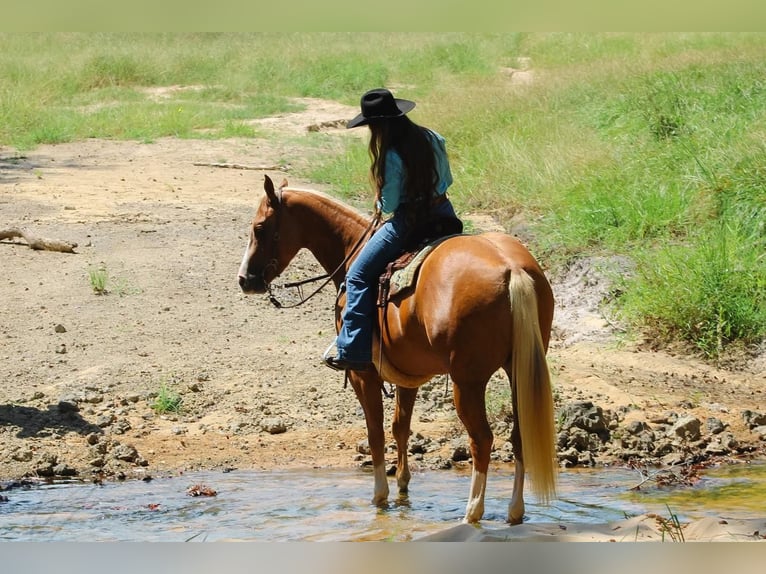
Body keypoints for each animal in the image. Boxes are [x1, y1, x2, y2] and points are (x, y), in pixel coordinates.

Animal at [238, 176, 560, 528]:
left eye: (259, 228)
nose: (245, 280)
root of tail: (512, 269)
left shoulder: (363, 374)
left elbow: (376, 432)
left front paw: (380, 496)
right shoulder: (409, 375)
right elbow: (400, 427)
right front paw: (403, 488)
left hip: (467, 382)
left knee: (481, 439)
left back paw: (472, 511)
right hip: (519, 371)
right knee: (519, 436)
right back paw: (515, 511)